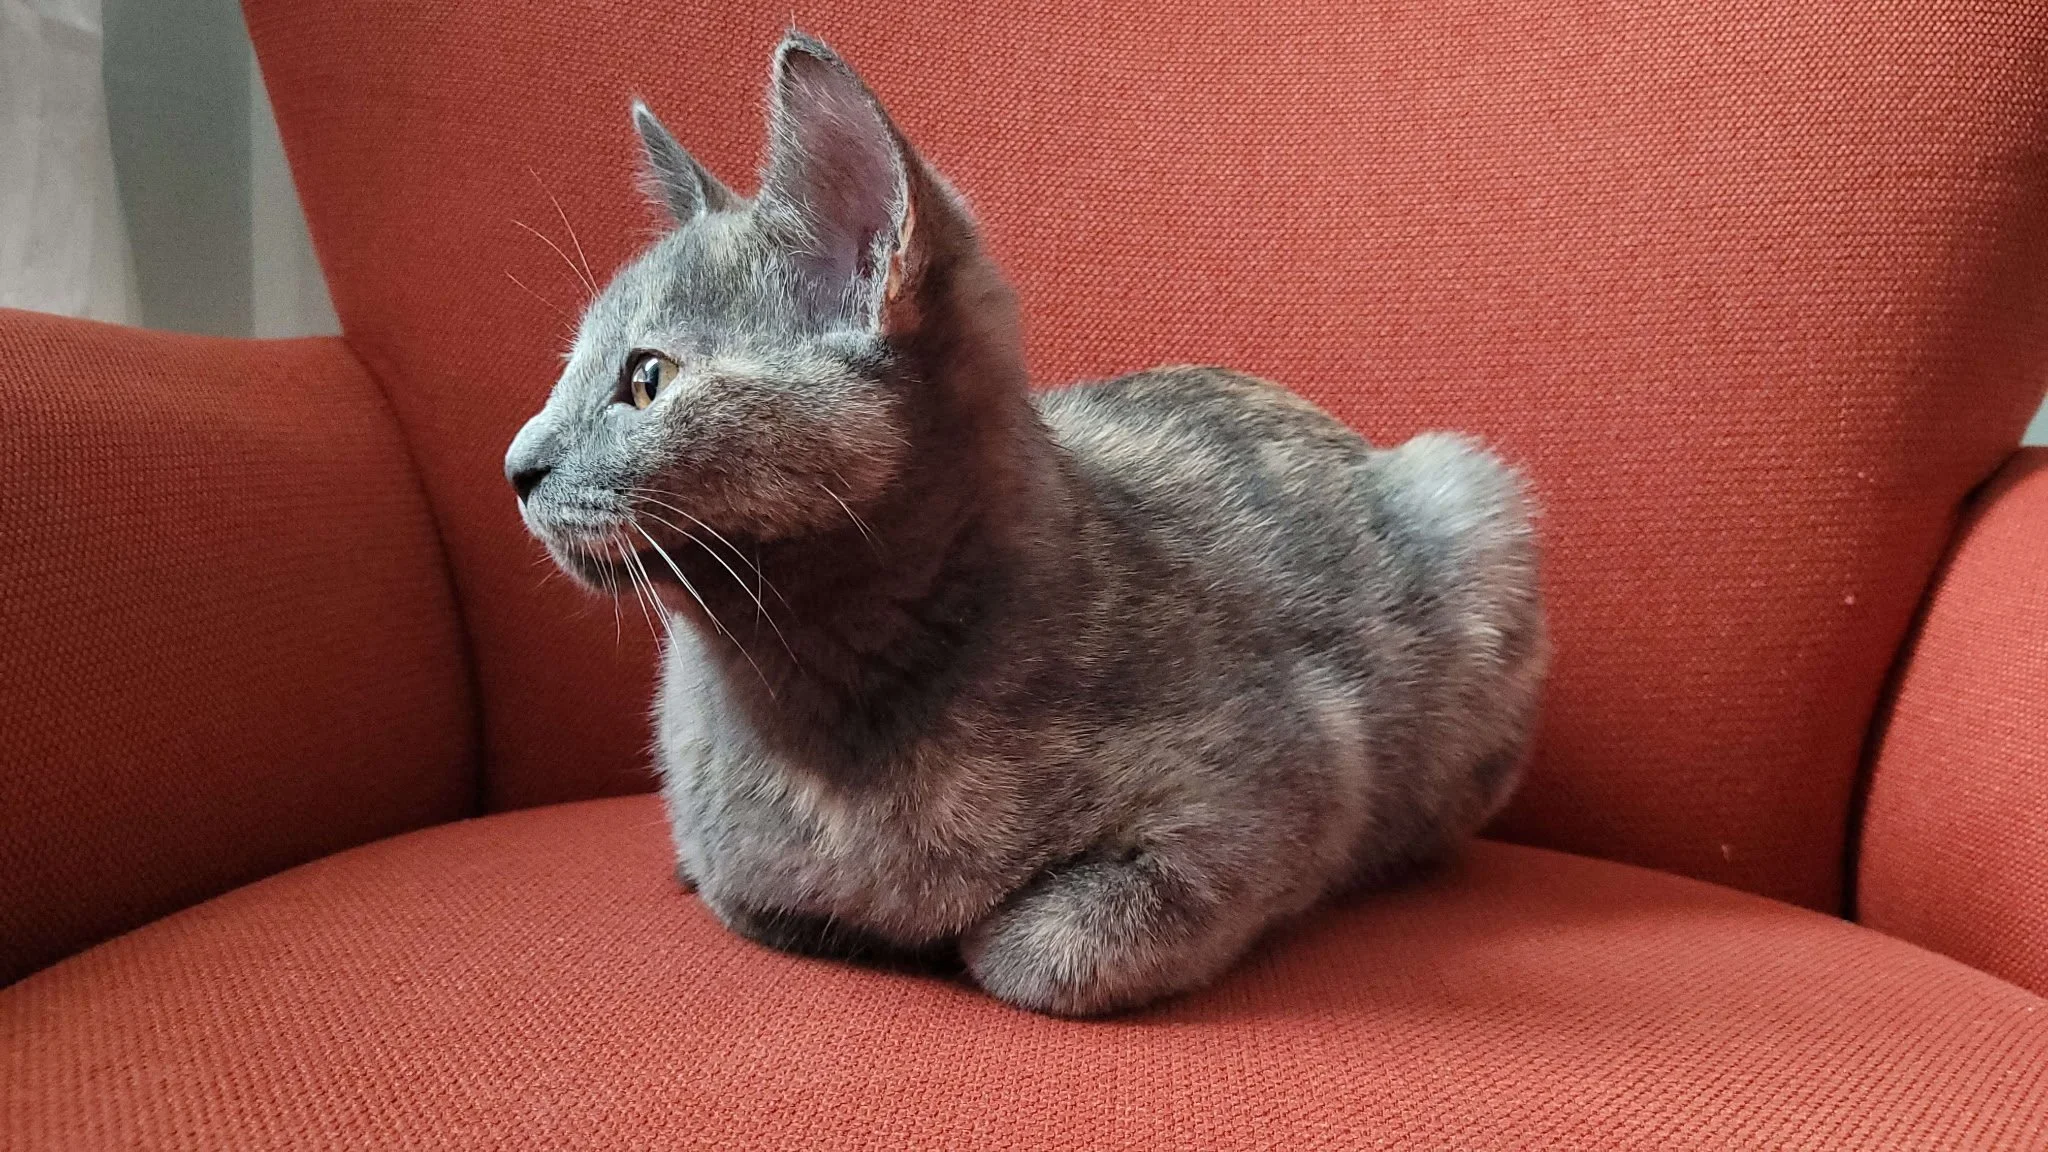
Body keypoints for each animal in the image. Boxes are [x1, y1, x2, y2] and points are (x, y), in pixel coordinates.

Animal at [504, 31, 1547, 1016]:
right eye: (567, 369)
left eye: (647, 379)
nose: (516, 464)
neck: (820, 712)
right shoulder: (742, 865)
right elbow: (756, 893)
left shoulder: (1288, 780)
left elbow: (1043, 948)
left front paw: (967, 936)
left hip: (1472, 501)